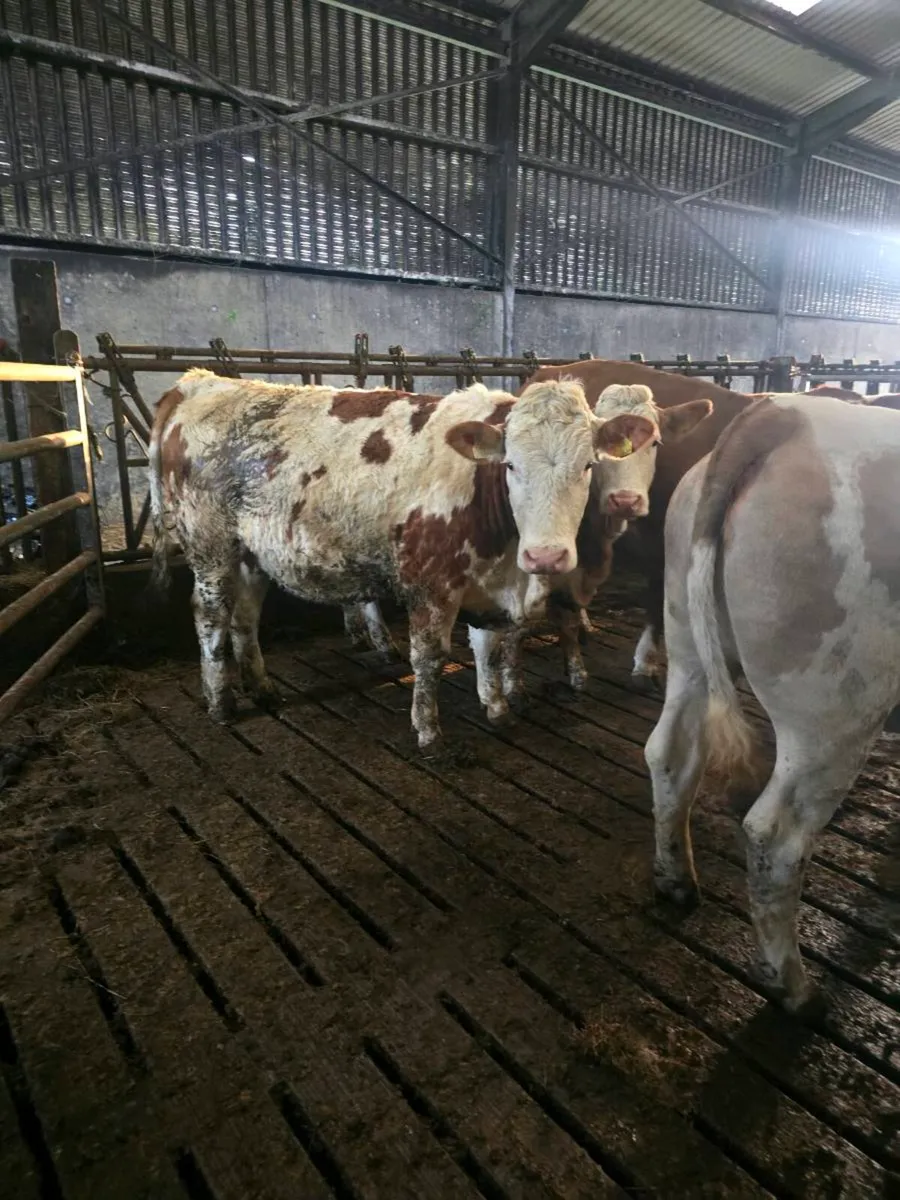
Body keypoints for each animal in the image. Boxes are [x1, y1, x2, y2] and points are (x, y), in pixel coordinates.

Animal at [148, 370, 647, 751]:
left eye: (587, 466)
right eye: (511, 466)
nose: (546, 555)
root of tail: (199, 381)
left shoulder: (489, 584)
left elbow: (490, 646)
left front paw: (497, 708)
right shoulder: (431, 582)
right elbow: (429, 657)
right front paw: (428, 732)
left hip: (250, 552)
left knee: (245, 617)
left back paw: (263, 689)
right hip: (209, 544)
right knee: (211, 616)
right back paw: (221, 703)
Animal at [645, 391, 900, 1013]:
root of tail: (783, 415)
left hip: (688, 643)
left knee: (669, 754)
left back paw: (676, 880)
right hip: (837, 708)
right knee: (776, 834)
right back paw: (794, 988)